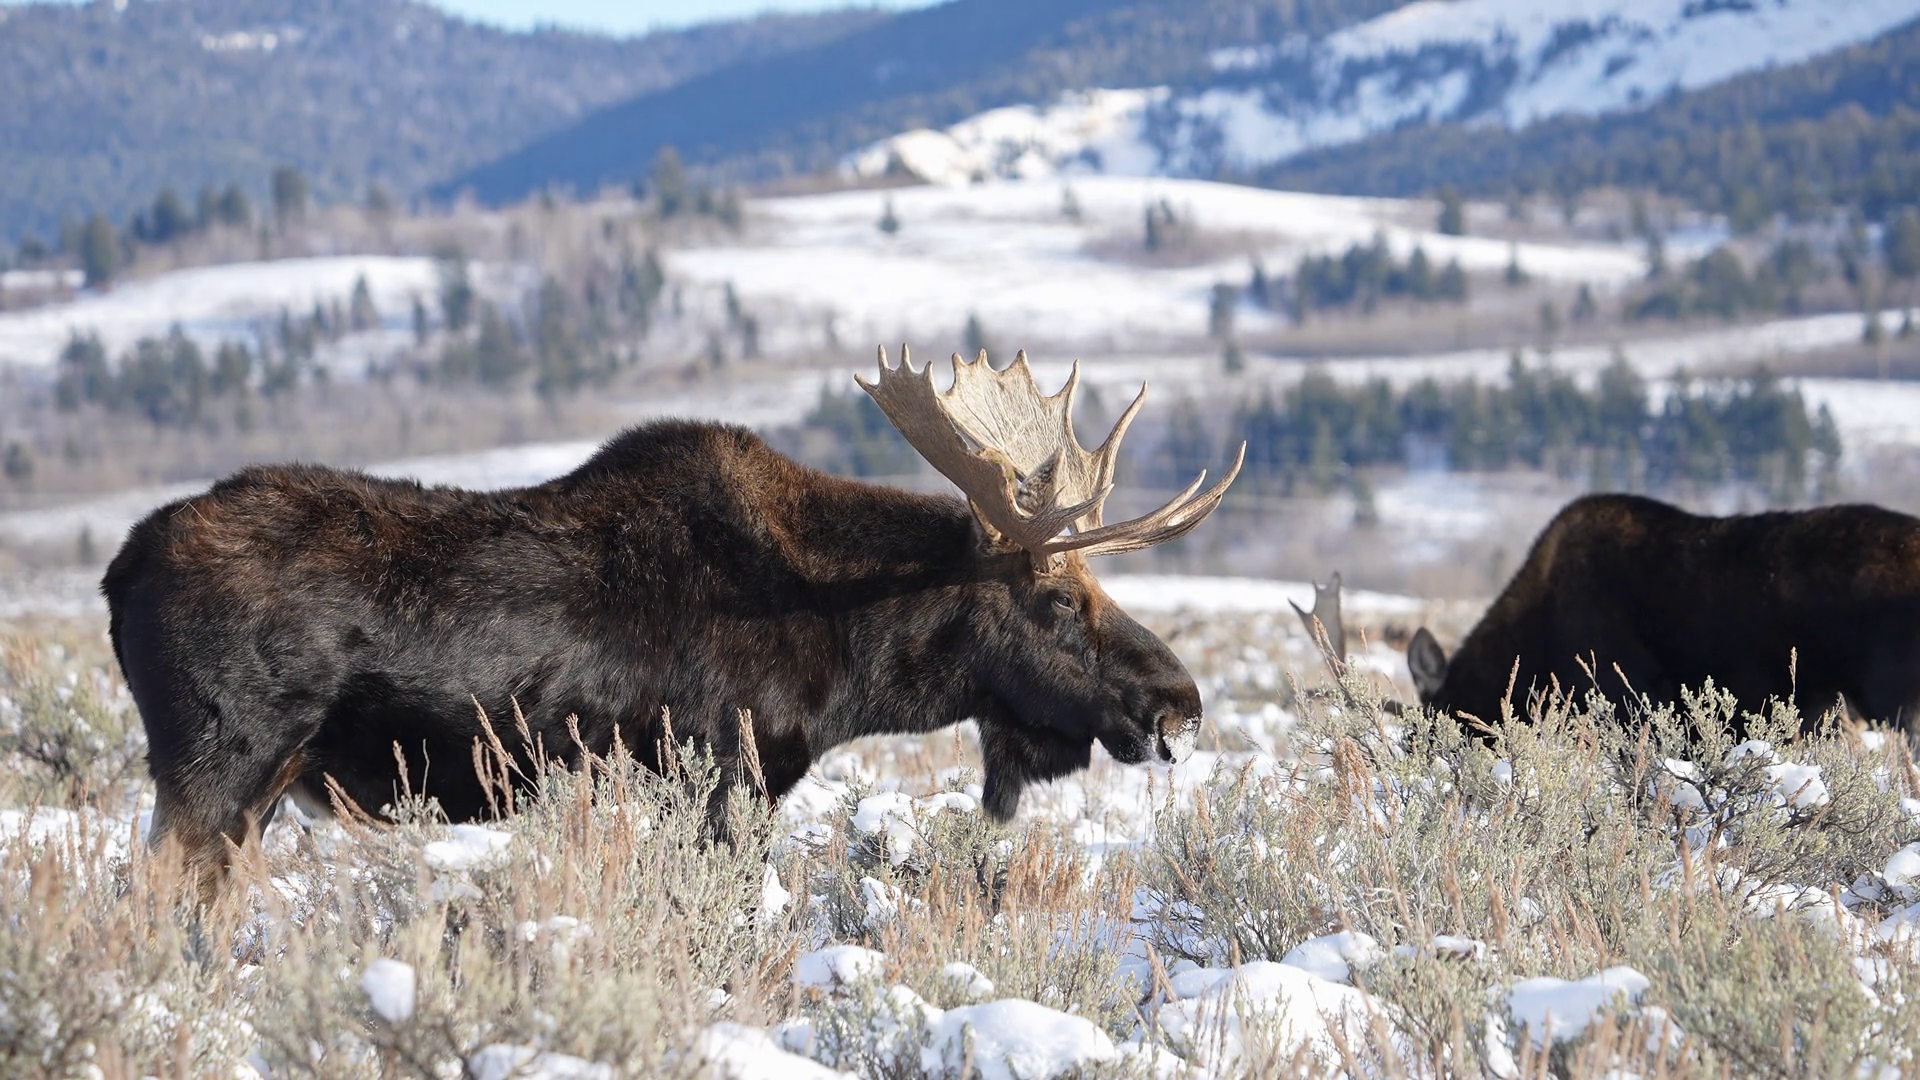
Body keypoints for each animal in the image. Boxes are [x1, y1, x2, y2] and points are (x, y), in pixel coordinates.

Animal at [103, 346, 1243, 894]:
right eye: (1060, 598)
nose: (1179, 705)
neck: (853, 660)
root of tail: (118, 571)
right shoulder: (726, 773)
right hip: (223, 762)